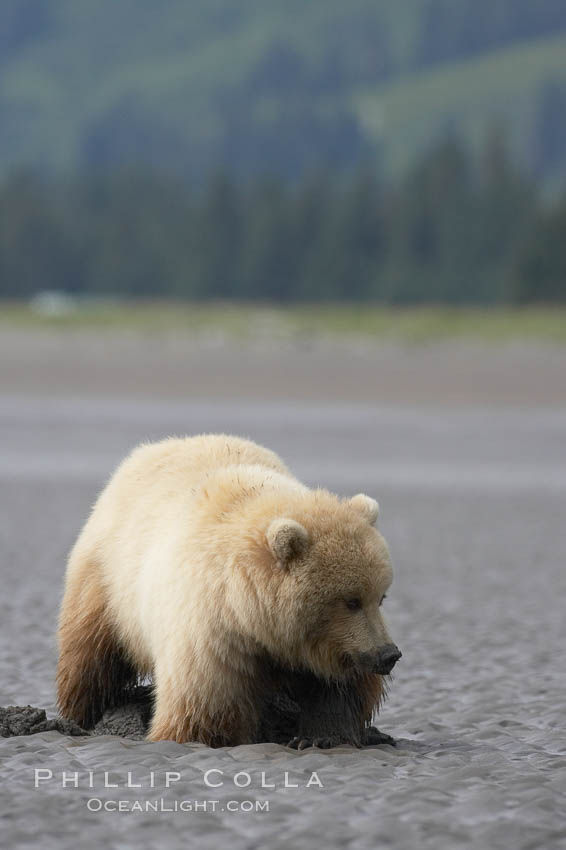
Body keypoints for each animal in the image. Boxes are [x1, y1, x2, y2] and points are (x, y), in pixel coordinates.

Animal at [57, 434, 402, 744]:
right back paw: (80, 716)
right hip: (107, 582)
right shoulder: (213, 637)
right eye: (351, 601)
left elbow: (338, 691)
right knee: (91, 658)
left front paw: (321, 737)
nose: (389, 654)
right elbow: (205, 709)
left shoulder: (330, 647)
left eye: (380, 596)